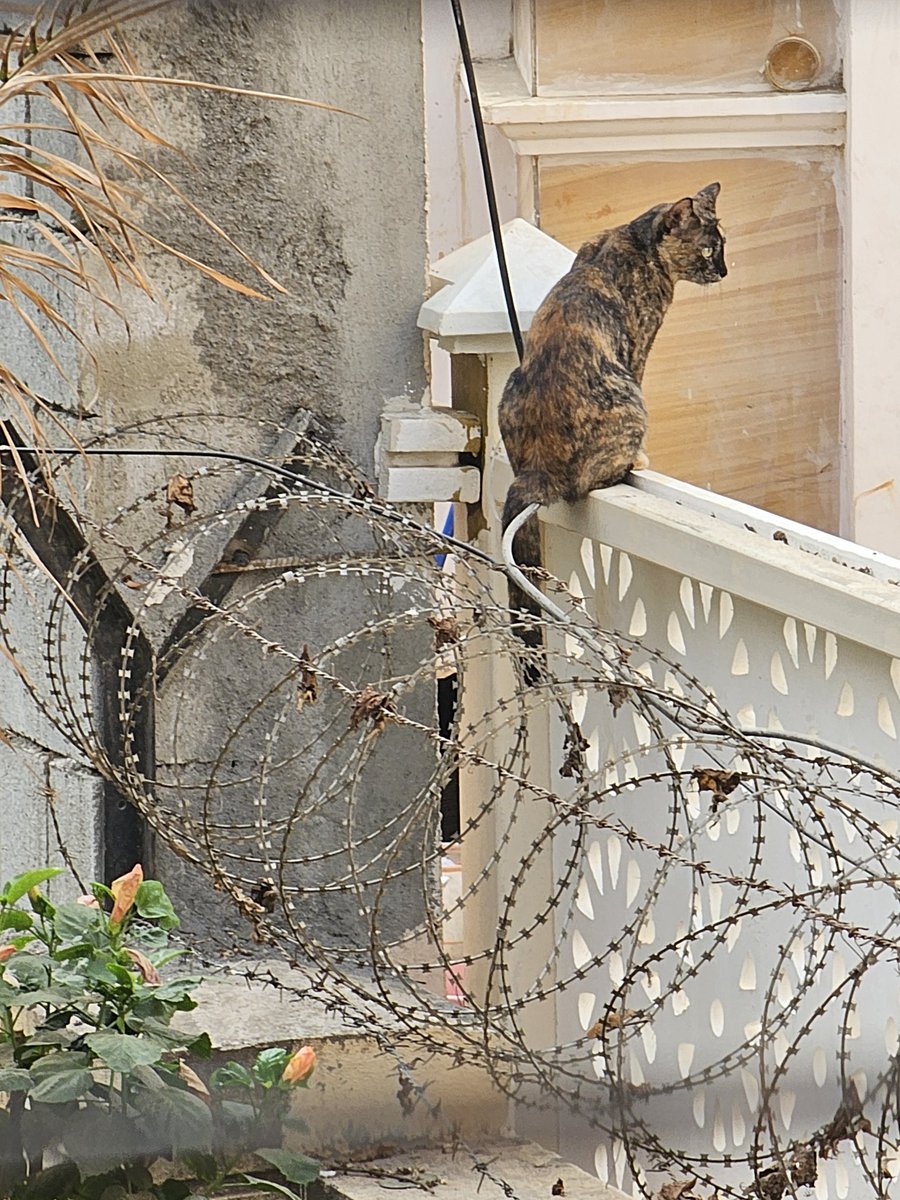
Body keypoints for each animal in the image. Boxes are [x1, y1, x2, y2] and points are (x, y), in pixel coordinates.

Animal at [504, 182, 729, 662]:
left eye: (722, 246)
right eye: (708, 249)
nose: (723, 270)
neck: (634, 240)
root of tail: (537, 472)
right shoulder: (640, 340)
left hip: (511, 386)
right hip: (627, 394)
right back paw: (629, 465)